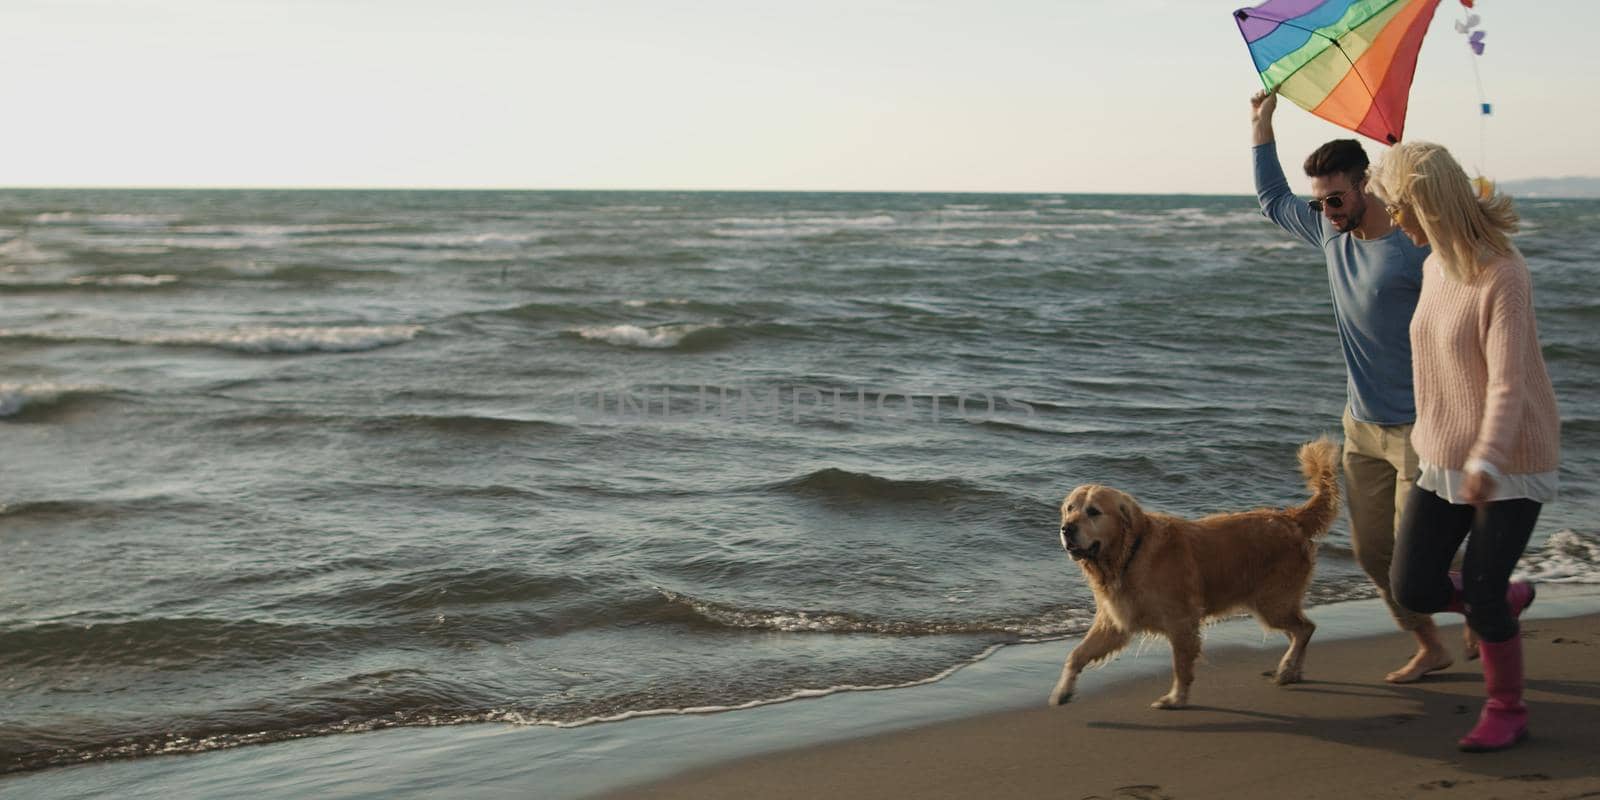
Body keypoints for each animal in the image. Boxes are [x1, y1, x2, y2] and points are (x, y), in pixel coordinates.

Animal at [1049, 441, 1337, 710]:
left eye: (1093, 511)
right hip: (1274, 604)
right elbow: (1076, 654)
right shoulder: (1115, 622)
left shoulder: (1182, 622)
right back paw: (1291, 671)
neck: (1130, 554)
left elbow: (1181, 666)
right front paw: (1062, 691)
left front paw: (1176, 698)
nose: (1066, 528)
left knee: (1305, 629)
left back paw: (1287, 668)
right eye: (1070, 508)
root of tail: (1290, 517)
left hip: (1271, 602)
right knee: (1299, 631)